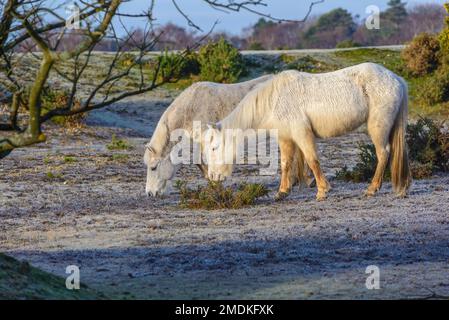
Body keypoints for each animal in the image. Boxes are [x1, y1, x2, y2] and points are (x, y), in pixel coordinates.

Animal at [202, 62, 410, 200]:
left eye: (214, 148)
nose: (212, 177)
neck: (275, 100)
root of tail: (396, 79)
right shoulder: (286, 137)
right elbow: (285, 163)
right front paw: (282, 192)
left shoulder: (302, 134)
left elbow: (312, 160)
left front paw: (322, 191)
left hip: (378, 127)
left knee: (383, 154)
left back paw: (372, 189)